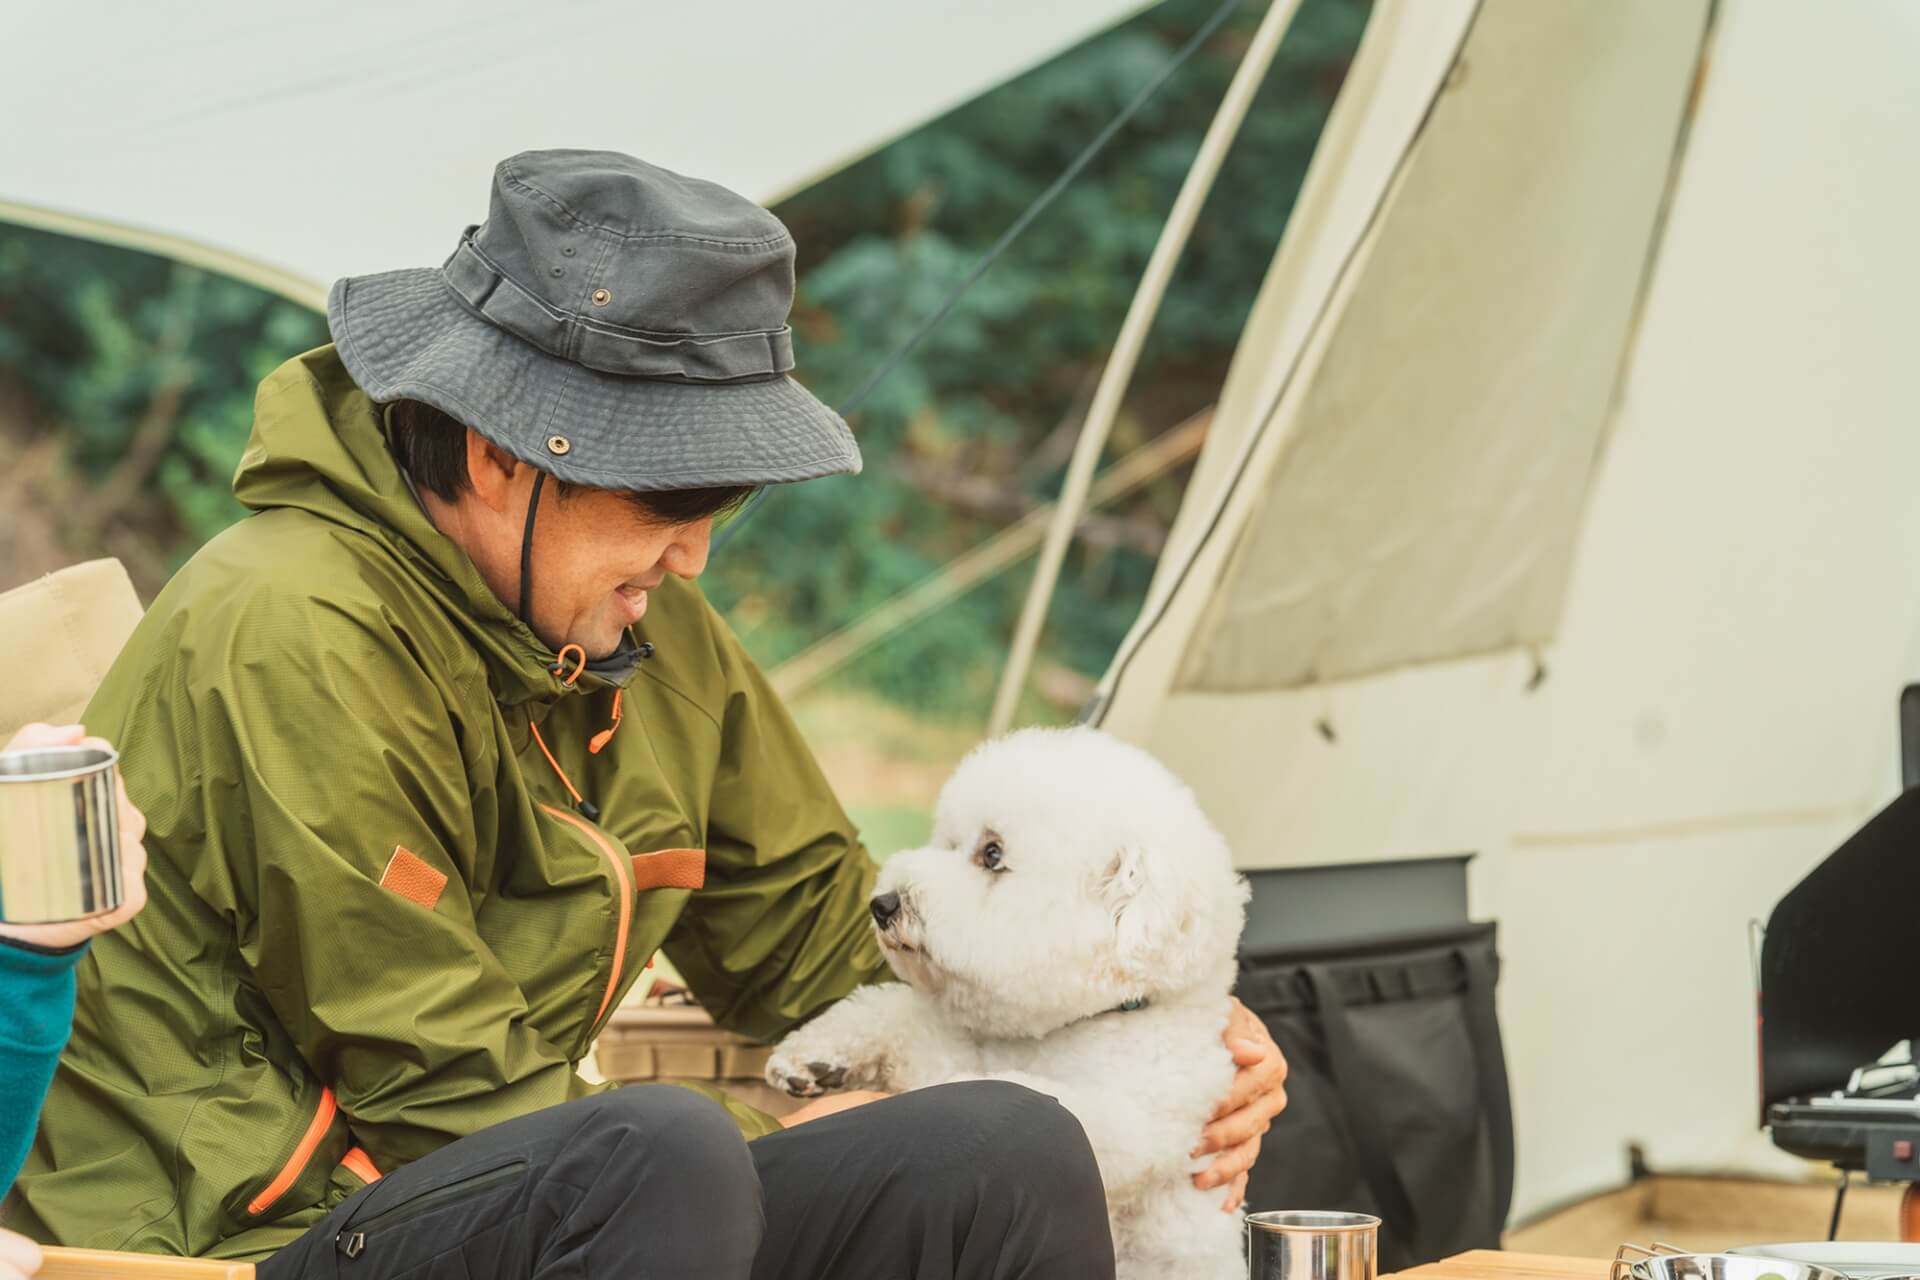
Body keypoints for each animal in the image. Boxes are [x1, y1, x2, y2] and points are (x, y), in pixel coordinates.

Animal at [764, 725, 1244, 1274]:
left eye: (992, 854)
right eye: (952, 843)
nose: (882, 904)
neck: (1076, 1025)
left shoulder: (1133, 1121)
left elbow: (1011, 1092)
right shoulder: (953, 1042)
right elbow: (901, 1014)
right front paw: (815, 1058)